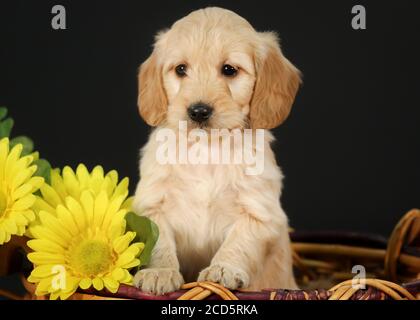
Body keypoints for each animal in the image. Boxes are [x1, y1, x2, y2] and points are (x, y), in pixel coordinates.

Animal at [133, 6, 300, 296]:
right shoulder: (152, 203)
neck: (207, 148)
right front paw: (159, 272)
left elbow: (239, 241)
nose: (199, 111)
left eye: (229, 70)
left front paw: (223, 269)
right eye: (180, 69)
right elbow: (159, 239)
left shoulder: (260, 213)